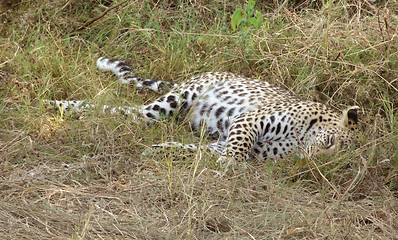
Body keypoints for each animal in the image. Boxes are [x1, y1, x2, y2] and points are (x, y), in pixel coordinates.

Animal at [43, 57, 360, 166]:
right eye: (330, 143)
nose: (313, 162)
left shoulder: (230, 142)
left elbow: (198, 152)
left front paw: (160, 150)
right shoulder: (249, 121)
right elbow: (237, 152)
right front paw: (229, 166)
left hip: (159, 112)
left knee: (125, 113)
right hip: (175, 99)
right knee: (122, 111)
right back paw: (55, 106)